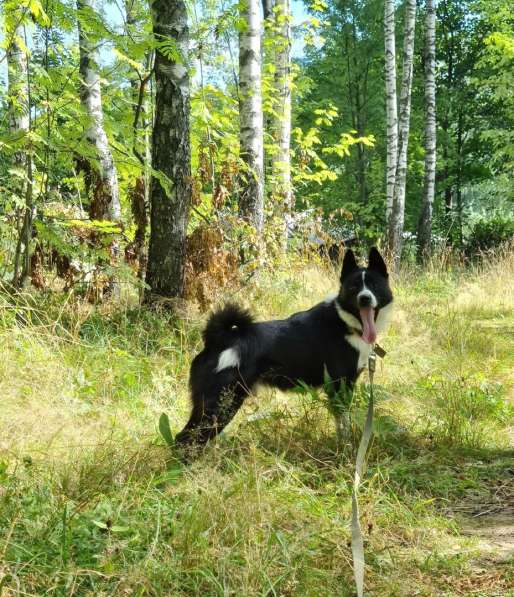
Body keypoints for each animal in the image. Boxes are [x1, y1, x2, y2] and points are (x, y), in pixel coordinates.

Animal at [175, 247, 392, 448]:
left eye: (374, 285)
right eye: (354, 287)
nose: (365, 298)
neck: (345, 322)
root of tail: (220, 339)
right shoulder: (340, 386)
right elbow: (343, 423)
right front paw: (346, 449)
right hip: (221, 406)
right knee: (185, 440)